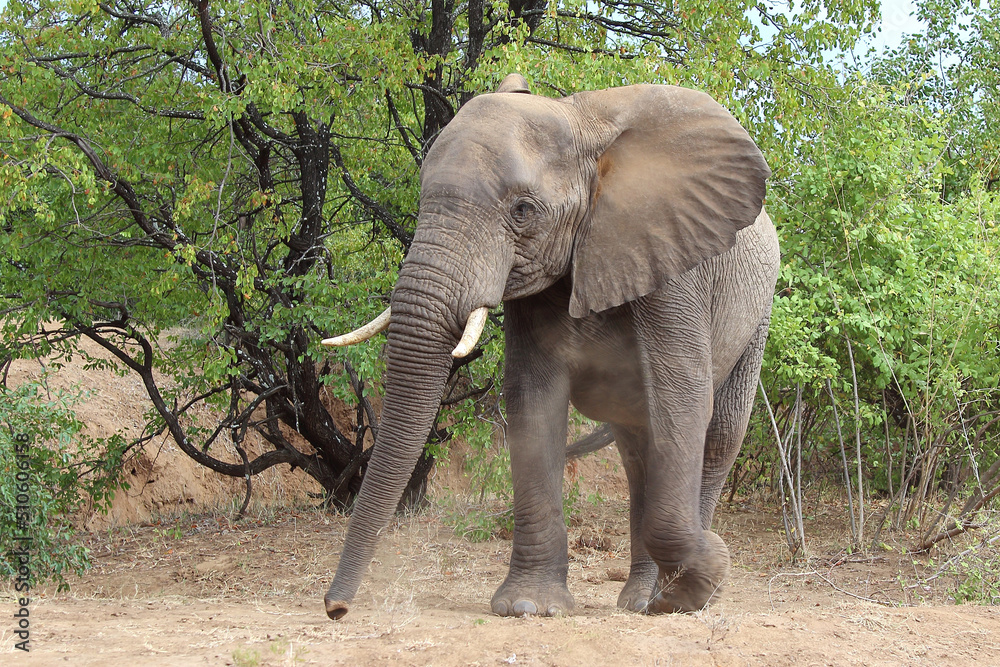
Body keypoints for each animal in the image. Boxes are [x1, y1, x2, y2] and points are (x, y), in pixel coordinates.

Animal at [321, 73, 779, 619]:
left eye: (523, 211)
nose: (335, 609)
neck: (580, 124)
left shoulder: (674, 262)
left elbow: (682, 399)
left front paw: (704, 574)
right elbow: (532, 401)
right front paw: (529, 607)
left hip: (758, 312)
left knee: (718, 434)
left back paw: (671, 598)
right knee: (637, 447)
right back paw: (638, 600)